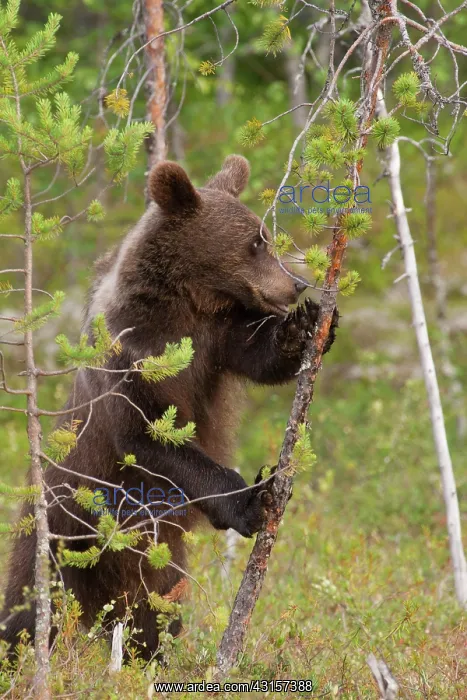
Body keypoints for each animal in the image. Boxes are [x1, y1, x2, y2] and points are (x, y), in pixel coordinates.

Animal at [0, 155, 337, 660]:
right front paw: (252, 498)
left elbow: (258, 355)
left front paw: (305, 325)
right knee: (29, 605)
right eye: (255, 243)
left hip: (156, 564)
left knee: (153, 610)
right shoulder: (131, 354)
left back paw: (152, 653)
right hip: (60, 535)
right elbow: (150, 436)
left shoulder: (216, 337)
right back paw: (21, 650)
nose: (295, 285)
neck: (186, 301)